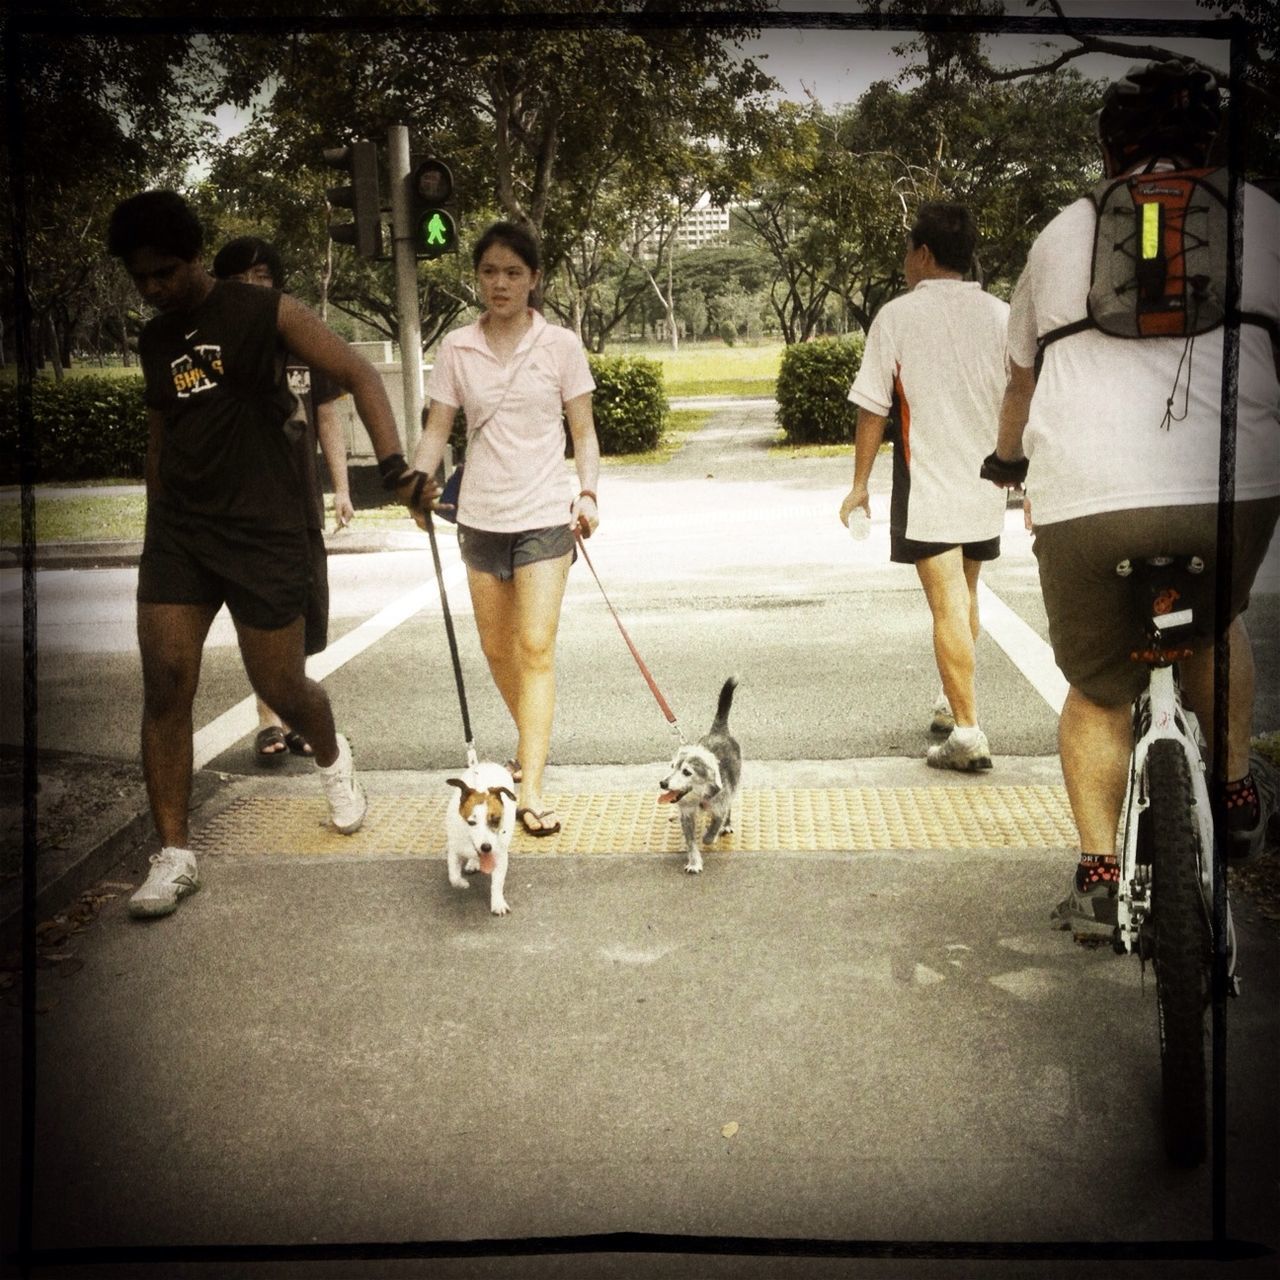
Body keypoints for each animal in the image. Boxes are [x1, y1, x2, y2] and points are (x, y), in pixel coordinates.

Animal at [660, 675, 742, 875]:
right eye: (672, 766)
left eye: (687, 772)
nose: (663, 783)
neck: (700, 796)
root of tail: (719, 731)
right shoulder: (686, 814)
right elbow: (691, 843)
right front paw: (694, 861)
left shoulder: (720, 806)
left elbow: (715, 825)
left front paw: (709, 837)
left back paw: (726, 825)